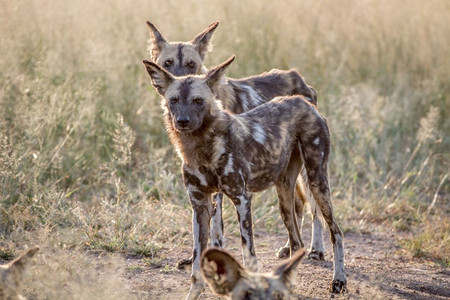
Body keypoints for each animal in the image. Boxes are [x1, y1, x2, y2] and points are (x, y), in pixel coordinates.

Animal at [142, 55, 346, 298]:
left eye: (198, 100)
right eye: (173, 100)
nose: (182, 120)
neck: (202, 147)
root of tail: (303, 101)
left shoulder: (241, 199)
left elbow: (249, 257)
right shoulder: (200, 205)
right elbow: (197, 264)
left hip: (316, 181)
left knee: (336, 232)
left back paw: (338, 280)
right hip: (284, 194)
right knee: (296, 243)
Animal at [149, 19, 326, 262]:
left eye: (191, 65)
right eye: (167, 63)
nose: (177, 80)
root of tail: (298, 78)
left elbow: (216, 228)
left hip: (308, 167)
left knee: (314, 206)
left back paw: (316, 248)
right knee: (296, 204)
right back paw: (290, 248)